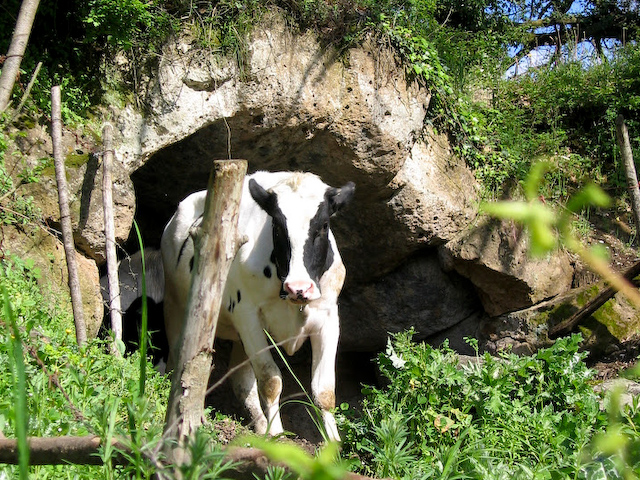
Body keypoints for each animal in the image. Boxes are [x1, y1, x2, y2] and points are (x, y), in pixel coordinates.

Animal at [160, 171, 356, 440]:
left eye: (323, 225)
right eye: (277, 226)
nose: (299, 287)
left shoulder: (328, 317)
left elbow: (324, 391)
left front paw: (333, 445)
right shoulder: (247, 315)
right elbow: (270, 380)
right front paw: (278, 437)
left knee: (241, 381)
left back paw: (261, 426)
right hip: (175, 308)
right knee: (177, 363)